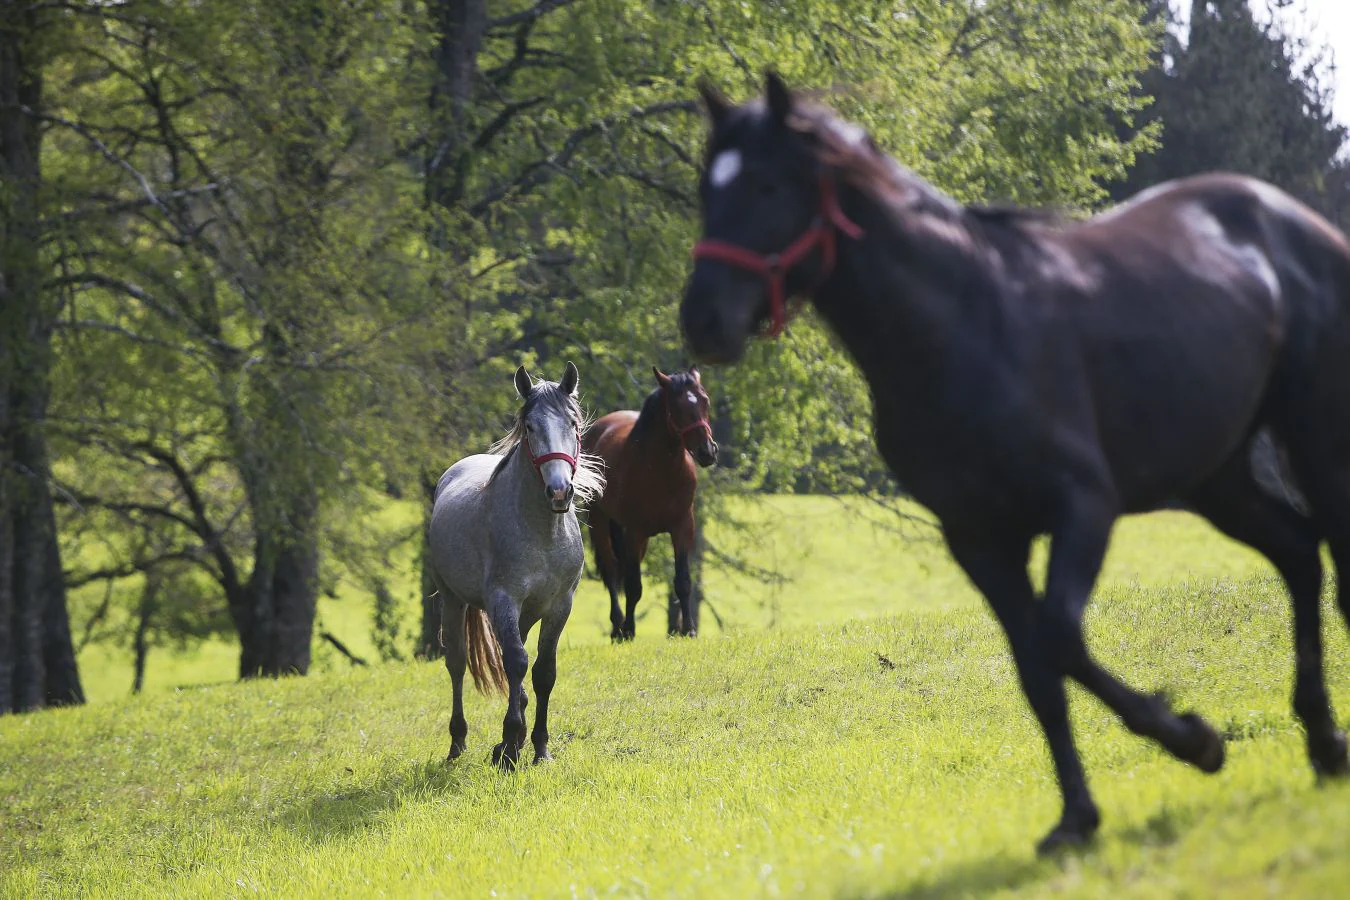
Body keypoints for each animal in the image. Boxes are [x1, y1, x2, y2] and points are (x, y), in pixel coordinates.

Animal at [429, 361, 604, 771]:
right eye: (530, 427)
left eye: (573, 424)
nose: (560, 491)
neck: (542, 533)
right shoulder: (503, 601)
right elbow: (516, 663)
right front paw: (509, 747)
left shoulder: (559, 606)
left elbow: (542, 673)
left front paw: (538, 747)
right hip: (452, 599)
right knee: (458, 663)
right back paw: (458, 743)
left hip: (525, 614)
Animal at [585, 367, 723, 639]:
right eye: (677, 407)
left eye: (705, 400)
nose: (706, 452)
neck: (661, 470)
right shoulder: (634, 531)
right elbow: (633, 585)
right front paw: (629, 630)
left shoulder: (683, 527)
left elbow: (683, 581)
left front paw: (689, 630)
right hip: (600, 521)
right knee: (611, 571)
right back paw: (617, 626)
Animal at [680, 73, 1350, 858]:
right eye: (707, 187)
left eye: (769, 183)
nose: (702, 321)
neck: (963, 330)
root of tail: (1291, 218)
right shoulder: (978, 539)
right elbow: (1036, 672)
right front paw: (1077, 818)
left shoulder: (1082, 507)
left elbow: (1060, 638)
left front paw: (1194, 740)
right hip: (1218, 478)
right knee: (1298, 556)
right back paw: (1324, 745)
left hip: (1313, 435)